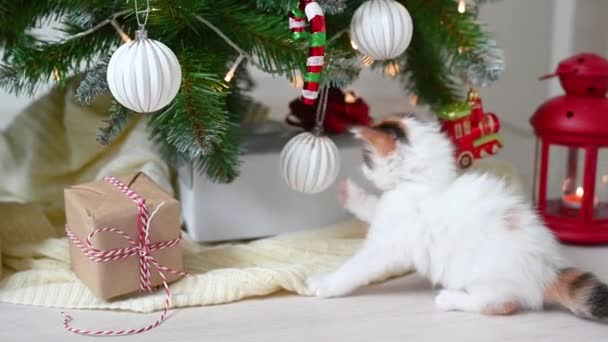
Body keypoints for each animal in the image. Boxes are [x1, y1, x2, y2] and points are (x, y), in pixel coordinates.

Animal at [306, 116, 608, 320]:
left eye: (366, 159)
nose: (361, 169)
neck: (423, 184)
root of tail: (548, 269)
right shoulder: (387, 213)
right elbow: (372, 205)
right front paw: (347, 192)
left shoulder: (389, 246)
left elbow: (355, 268)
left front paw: (326, 283)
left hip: (489, 277)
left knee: (501, 304)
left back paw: (451, 299)